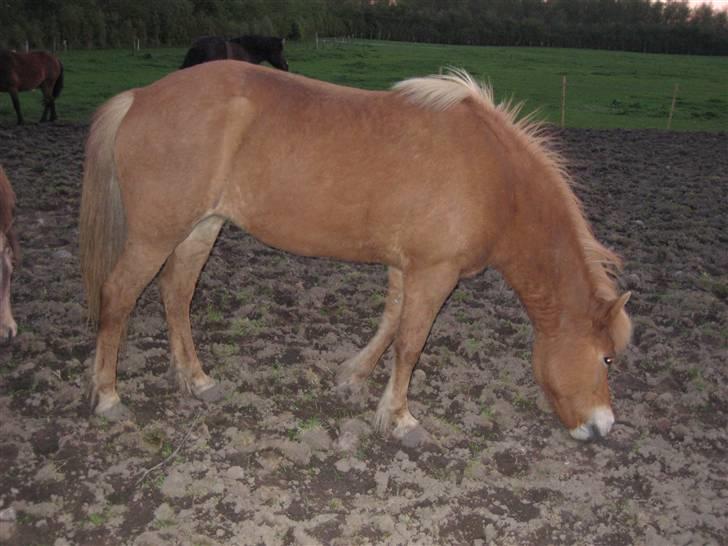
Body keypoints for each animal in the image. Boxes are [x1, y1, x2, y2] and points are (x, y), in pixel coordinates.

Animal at [79, 61, 632, 440]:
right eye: (606, 359)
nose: (603, 426)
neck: (497, 176)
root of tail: (139, 98)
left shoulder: (405, 267)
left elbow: (390, 324)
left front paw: (354, 378)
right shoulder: (435, 273)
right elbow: (410, 341)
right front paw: (401, 419)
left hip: (201, 227)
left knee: (176, 295)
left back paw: (196, 380)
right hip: (155, 234)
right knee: (120, 296)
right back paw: (107, 396)